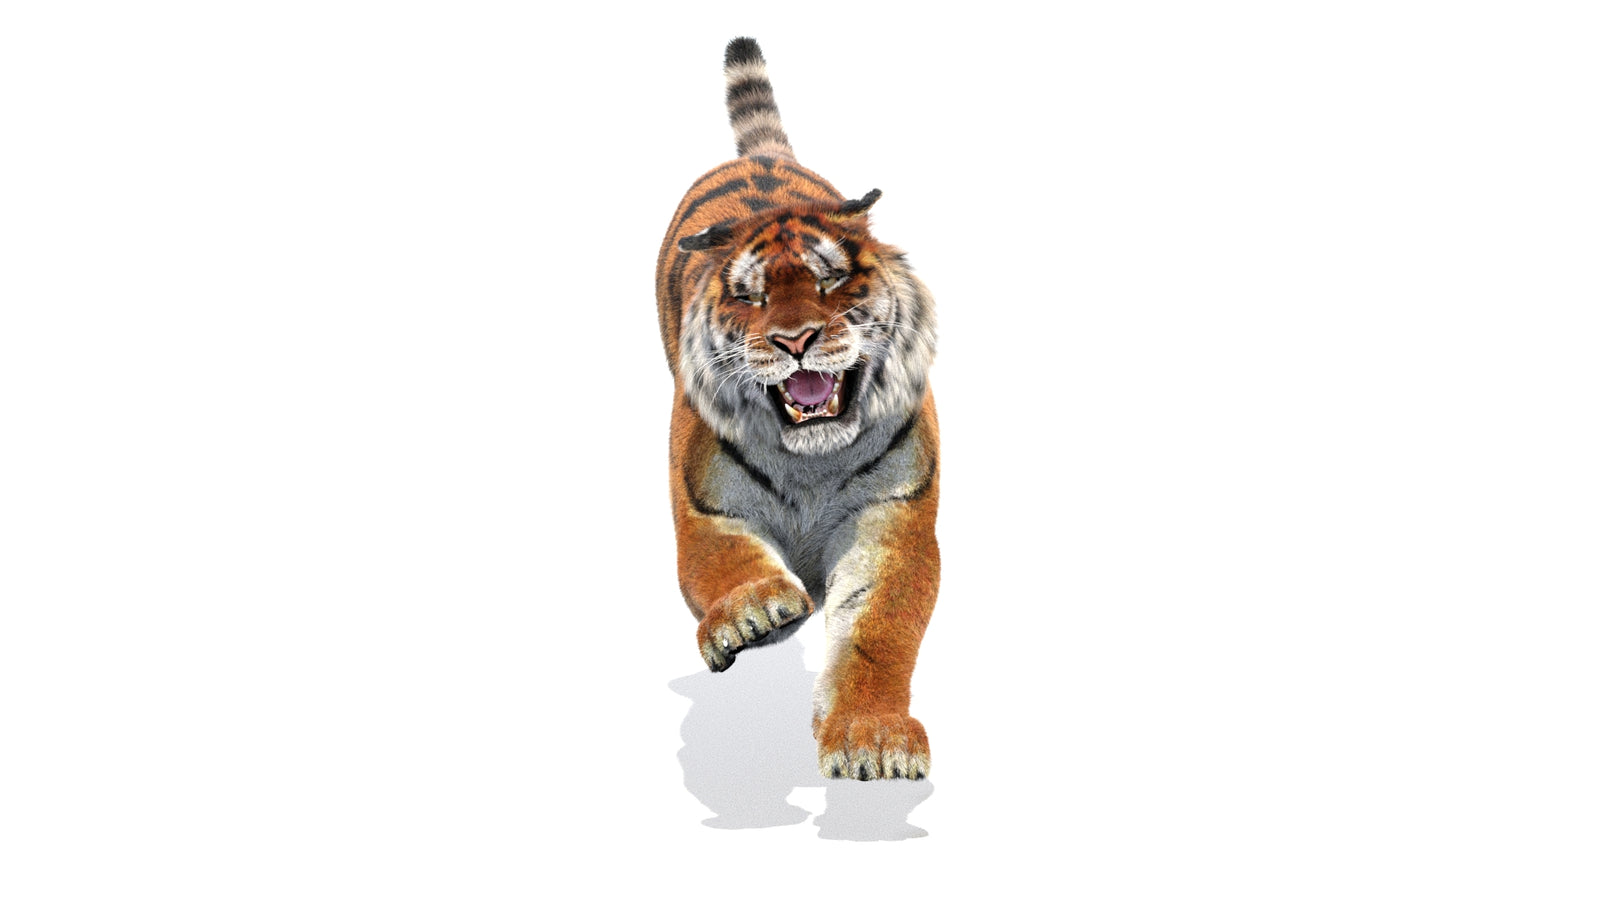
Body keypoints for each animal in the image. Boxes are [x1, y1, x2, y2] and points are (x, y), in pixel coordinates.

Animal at [655, 37, 940, 781]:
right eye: (750, 296)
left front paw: (873, 740)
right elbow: (722, 562)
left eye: (830, 280)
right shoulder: (703, 506)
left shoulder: (892, 522)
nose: (794, 340)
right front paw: (753, 614)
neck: (810, 460)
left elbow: (877, 631)